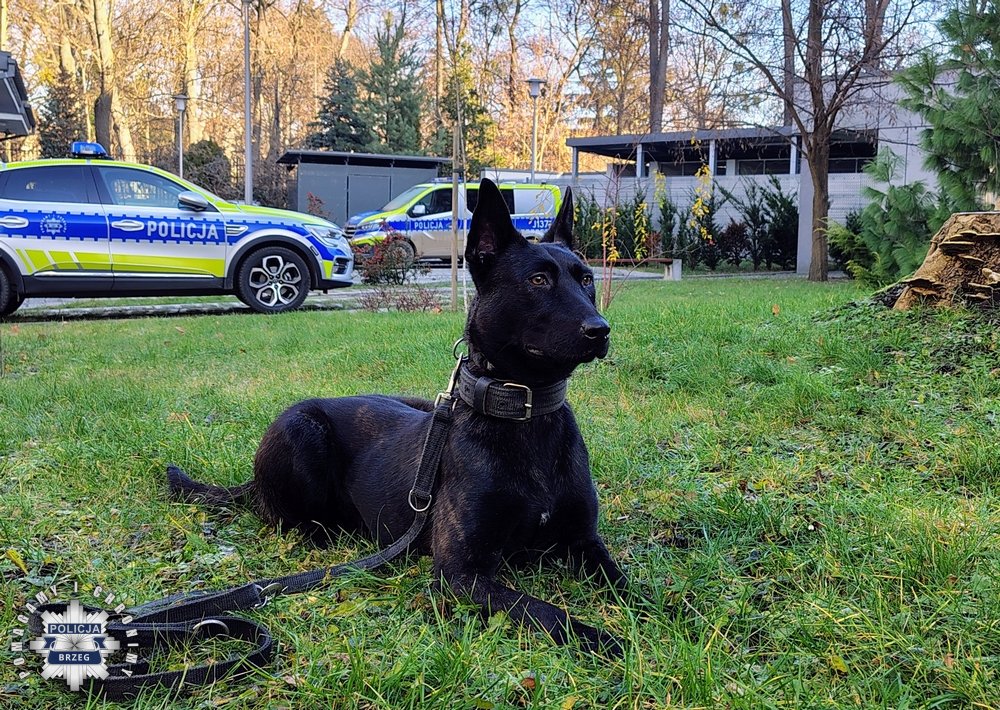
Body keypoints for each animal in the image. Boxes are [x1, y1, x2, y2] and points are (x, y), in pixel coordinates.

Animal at [168, 178, 628, 654]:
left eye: (587, 279)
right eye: (538, 280)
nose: (600, 330)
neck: (526, 413)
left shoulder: (584, 541)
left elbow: (629, 584)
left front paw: (652, 617)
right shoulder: (461, 572)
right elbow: (544, 611)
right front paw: (600, 638)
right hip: (301, 432)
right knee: (283, 518)